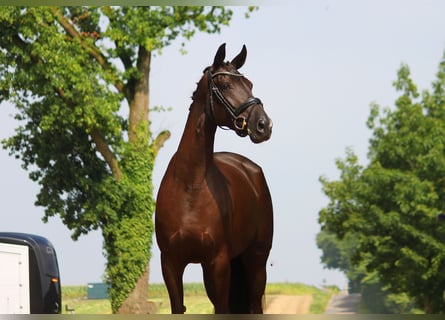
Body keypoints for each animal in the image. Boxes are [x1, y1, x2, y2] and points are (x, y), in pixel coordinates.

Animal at [156, 43, 274, 314]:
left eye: (250, 84)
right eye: (225, 85)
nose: (263, 125)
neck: (190, 185)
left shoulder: (217, 262)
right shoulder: (170, 263)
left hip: (256, 259)